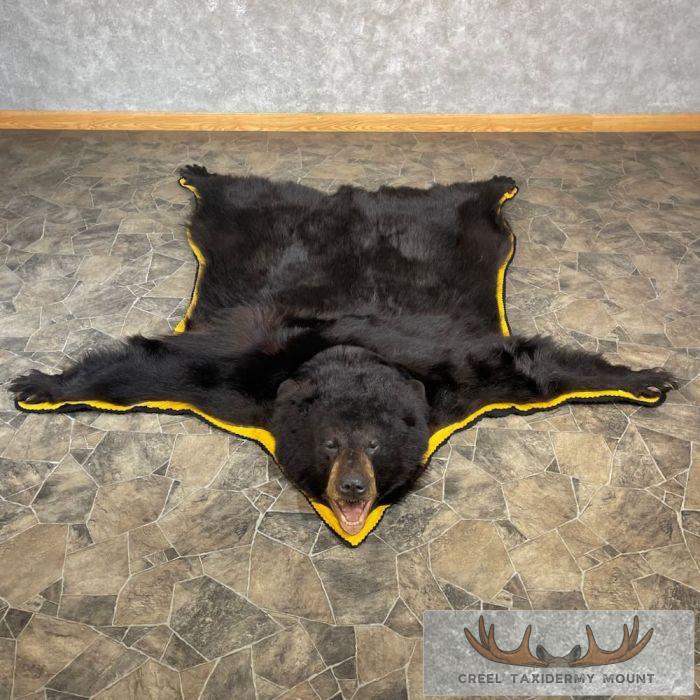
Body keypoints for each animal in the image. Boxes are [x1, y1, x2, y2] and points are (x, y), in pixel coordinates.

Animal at [10, 165, 676, 538]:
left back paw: (495, 183)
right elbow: (149, 368)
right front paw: (42, 385)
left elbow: (533, 369)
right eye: (330, 442)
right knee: (231, 197)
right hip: (242, 225)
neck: (346, 354)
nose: (354, 489)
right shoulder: (237, 378)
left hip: (466, 231)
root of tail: (346, 199)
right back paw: (199, 172)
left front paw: (644, 376)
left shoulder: (454, 376)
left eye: (375, 445)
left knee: (470, 203)